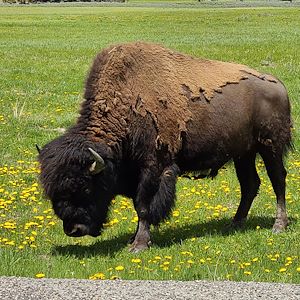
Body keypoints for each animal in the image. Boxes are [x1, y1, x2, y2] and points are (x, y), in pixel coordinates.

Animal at [38, 42, 292, 253]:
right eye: (51, 193)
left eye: (85, 187)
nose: (74, 230)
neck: (124, 106)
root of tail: (280, 86)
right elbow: (139, 206)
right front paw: (134, 239)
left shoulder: (153, 167)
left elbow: (143, 206)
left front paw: (139, 245)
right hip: (243, 154)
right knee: (250, 184)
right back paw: (235, 223)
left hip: (270, 148)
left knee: (278, 180)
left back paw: (278, 226)